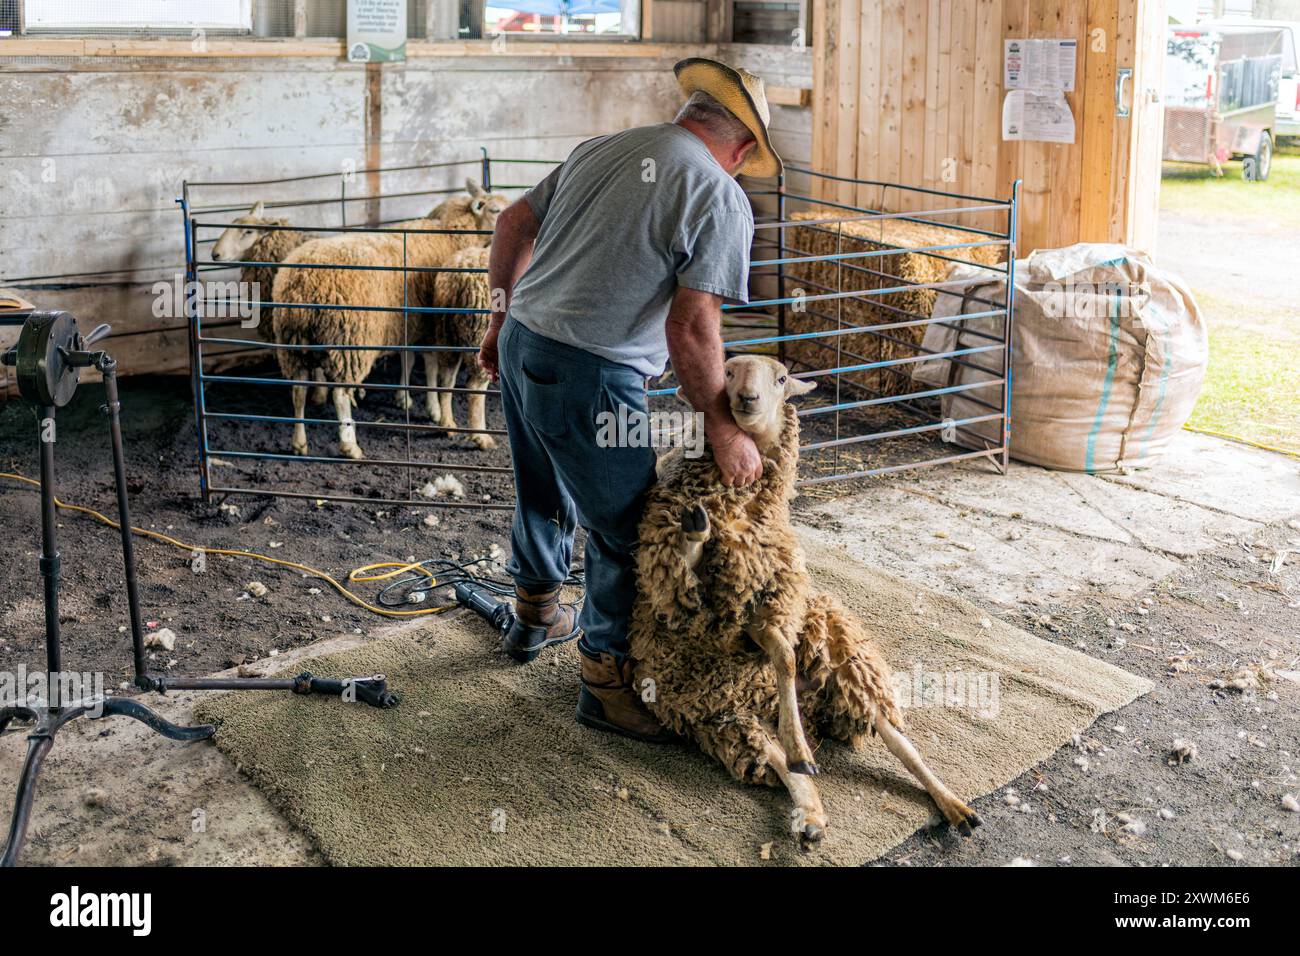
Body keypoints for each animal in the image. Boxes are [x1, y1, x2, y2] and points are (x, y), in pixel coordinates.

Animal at [270, 184, 506, 463]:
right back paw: (350, 446)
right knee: (340, 394)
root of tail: (302, 284)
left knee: (298, 389)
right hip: (349, 343)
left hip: (292, 344)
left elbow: (411, 360)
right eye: (496, 210)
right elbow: (430, 367)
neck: (450, 235)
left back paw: (299, 443)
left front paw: (405, 398)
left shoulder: (412, 324)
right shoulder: (428, 327)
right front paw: (433, 409)